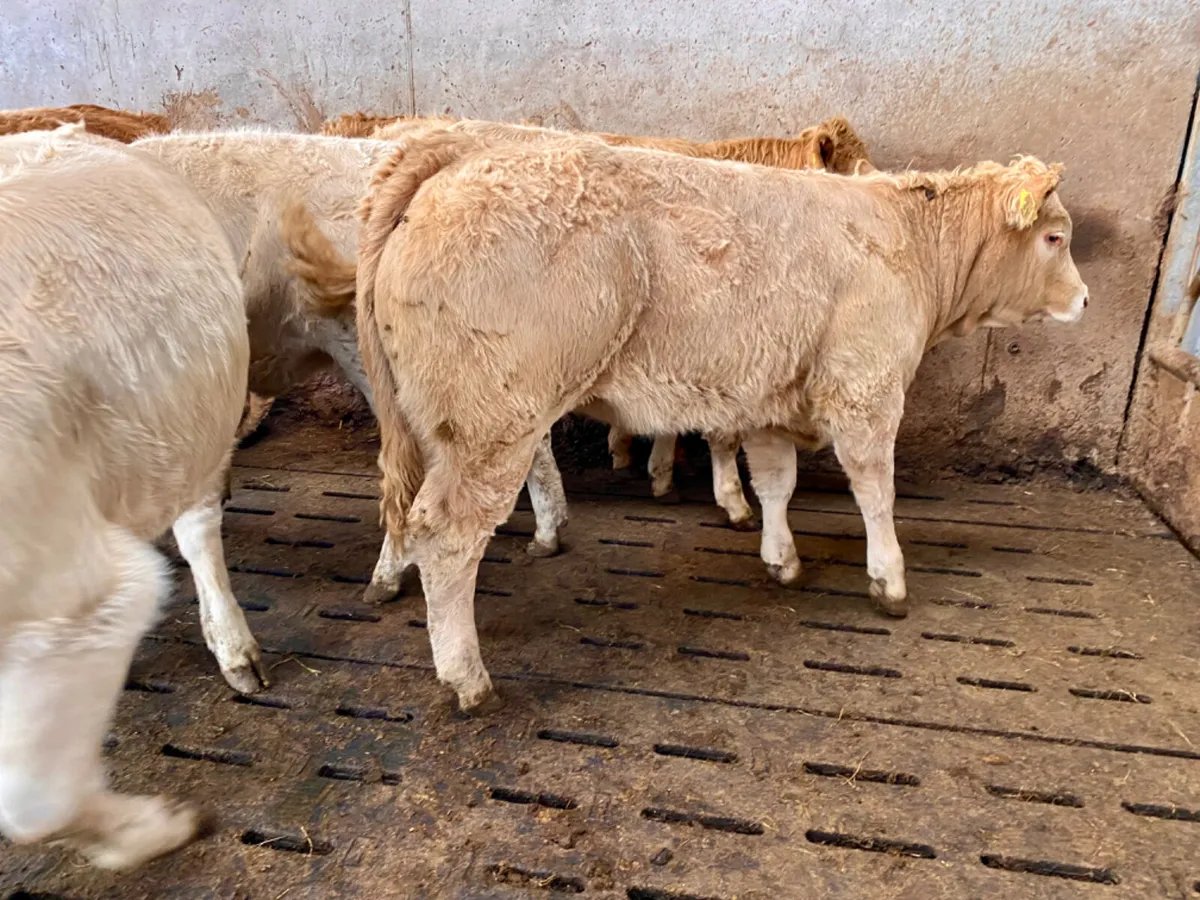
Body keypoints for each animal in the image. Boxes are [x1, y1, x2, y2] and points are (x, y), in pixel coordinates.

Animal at [0, 125, 248, 868]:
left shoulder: (79, 595)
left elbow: (34, 805)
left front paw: (151, 829)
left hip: (198, 421)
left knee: (198, 528)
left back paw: (235, 649)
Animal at [321, 130, 1089, 715]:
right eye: (1055, 237)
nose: (1084, 300)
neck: (905, 240)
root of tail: (459, 152)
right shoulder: (866, 390)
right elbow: (876, 493)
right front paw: (889, 582)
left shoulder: (774, 397)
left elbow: (776, 484)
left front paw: (781, 559)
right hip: (490, 423)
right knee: (448, 536)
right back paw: (467, 678)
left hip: (436, 421)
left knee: (407, 515)